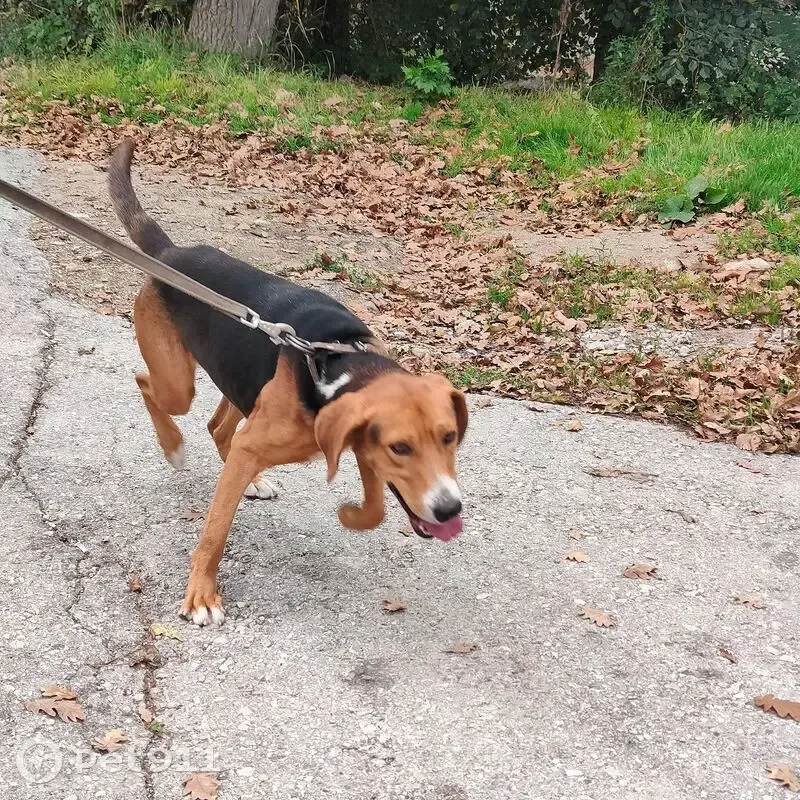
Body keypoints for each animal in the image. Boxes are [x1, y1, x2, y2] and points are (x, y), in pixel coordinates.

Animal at [108, 139, 468, 626]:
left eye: (449, 437)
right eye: (401, 447)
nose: (450, 509)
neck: (338, 362)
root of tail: (171, 255)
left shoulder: (354, 441)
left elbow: (375, 509)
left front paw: (351, 515)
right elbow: (214, 533)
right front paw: (202, 594)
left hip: (237, 381)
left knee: (217, 427)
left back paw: (250, 478)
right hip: (177, 385)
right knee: (147, 383)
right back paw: (173, 446)